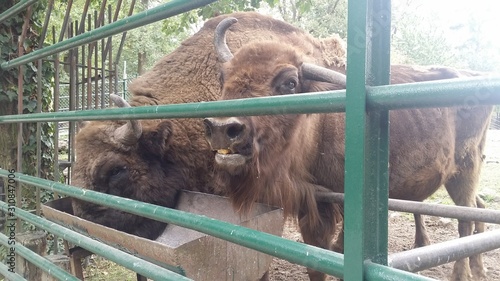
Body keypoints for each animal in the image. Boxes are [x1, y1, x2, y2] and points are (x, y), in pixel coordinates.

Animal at [203, 17, 492, 280]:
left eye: (290, 83)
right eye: (223, 77)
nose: (221, 128)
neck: (317, 127)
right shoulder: (312, 206)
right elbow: (317, 260)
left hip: (465, 170)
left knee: (465, 219)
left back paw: (463, 274)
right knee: (477, 208)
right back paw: (478, 268)